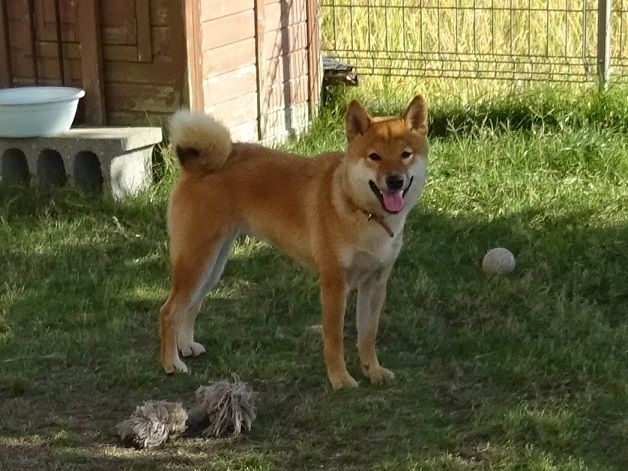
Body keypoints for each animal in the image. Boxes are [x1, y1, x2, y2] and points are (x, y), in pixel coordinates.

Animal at [160, 96, 429, 389]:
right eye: (374, 157)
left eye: (405, 154)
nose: (395, 181)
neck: (361, 210)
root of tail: (198, 167)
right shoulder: (334, 284)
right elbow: (334, 338)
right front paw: (340, 379)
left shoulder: (376, 283)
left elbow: (368, 335)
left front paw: (374, 371)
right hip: (196, 261)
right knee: (169, 311)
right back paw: (171, 363)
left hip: (212, 265)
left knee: (191, 305)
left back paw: (185, 347)